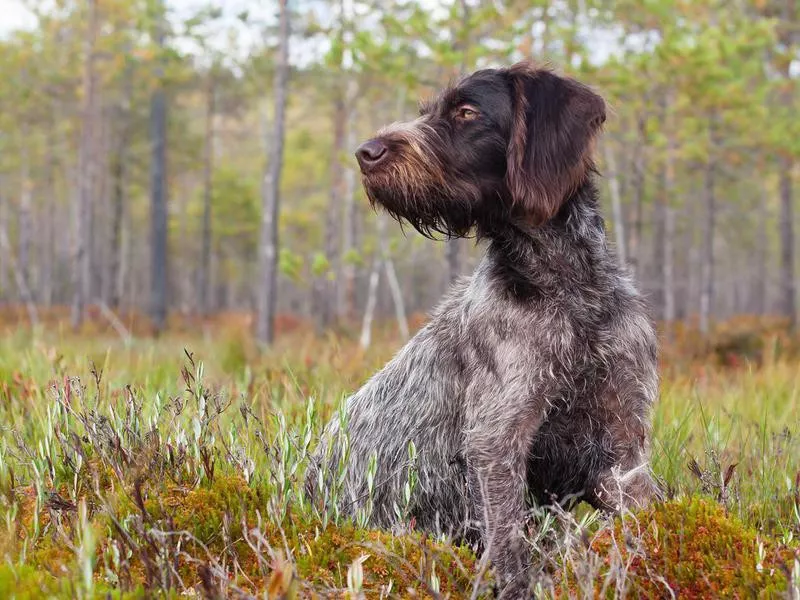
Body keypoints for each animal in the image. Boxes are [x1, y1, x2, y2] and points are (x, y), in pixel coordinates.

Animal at [304, 59, 660, 596]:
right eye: (428, 111)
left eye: (466, 112)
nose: (366, 152)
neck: (567, 289)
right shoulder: (497, 442)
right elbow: (510, 548)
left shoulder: (622, 447)